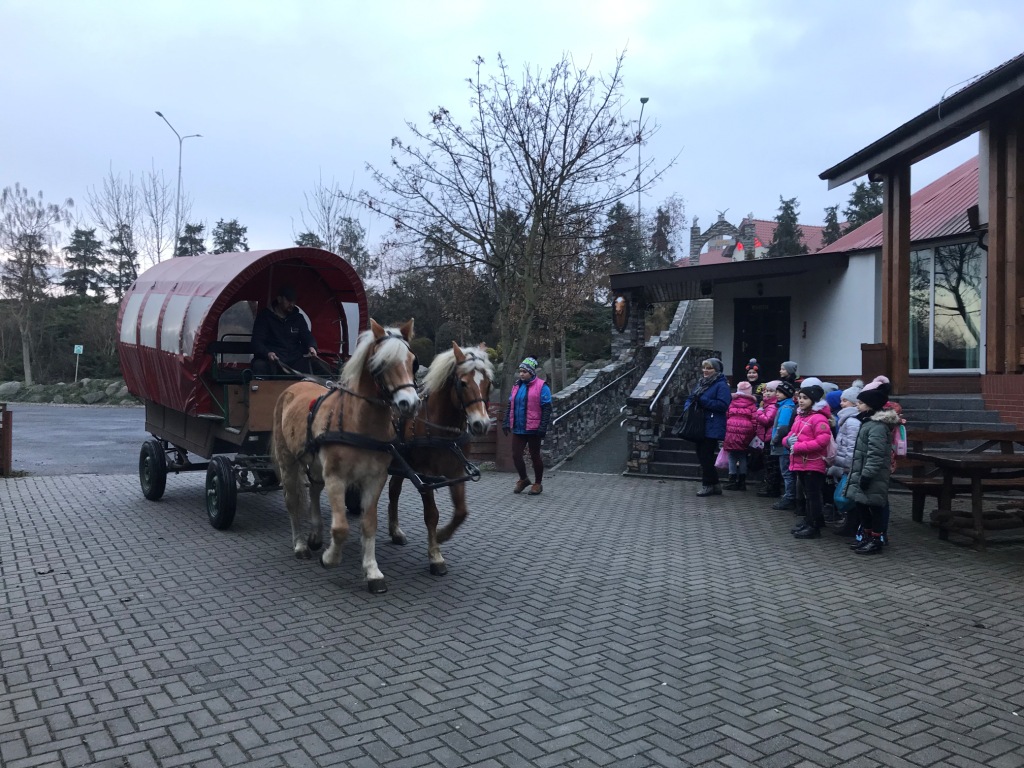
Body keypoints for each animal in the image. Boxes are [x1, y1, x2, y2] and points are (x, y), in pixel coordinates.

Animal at [274, 319, 417, 593]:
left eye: (413, 361)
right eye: (380, 363)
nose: (410, 404)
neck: (359, 423)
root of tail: (295, 384)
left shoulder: (375, 479)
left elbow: (369, 523)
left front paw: (372, 571)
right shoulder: (336, 478)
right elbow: (340, 528)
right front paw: (330, 558)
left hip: (315, 466)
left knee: (313, 491)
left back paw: (316, 535)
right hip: (288, 463)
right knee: (293, 501)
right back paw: (301, 544)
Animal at [385, 346, 493, 573]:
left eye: (488, 383)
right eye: (462, 383)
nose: (481, 424)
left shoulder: (456, 471)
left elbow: (461, 511)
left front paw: (443, 535)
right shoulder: (425, 476)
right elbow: (431, 515)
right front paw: (435, 556)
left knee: (394, 490)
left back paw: (396, 531)